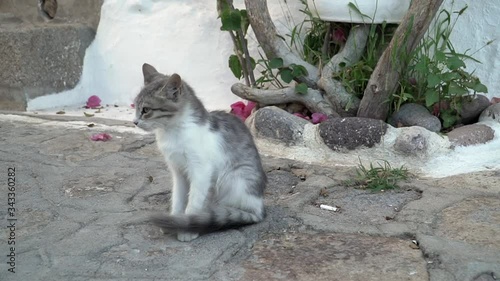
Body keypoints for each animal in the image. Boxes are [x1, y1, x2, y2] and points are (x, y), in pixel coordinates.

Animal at [133, 63, 266, 241]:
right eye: (135, 107)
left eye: (146, 110)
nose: (134, 122)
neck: (171, 132)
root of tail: (260, 207)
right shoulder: (178, 172)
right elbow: (178, 199)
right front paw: (175, 220)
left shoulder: (201, 171)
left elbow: (193, 203)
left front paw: (186, 228)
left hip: (236, 177)